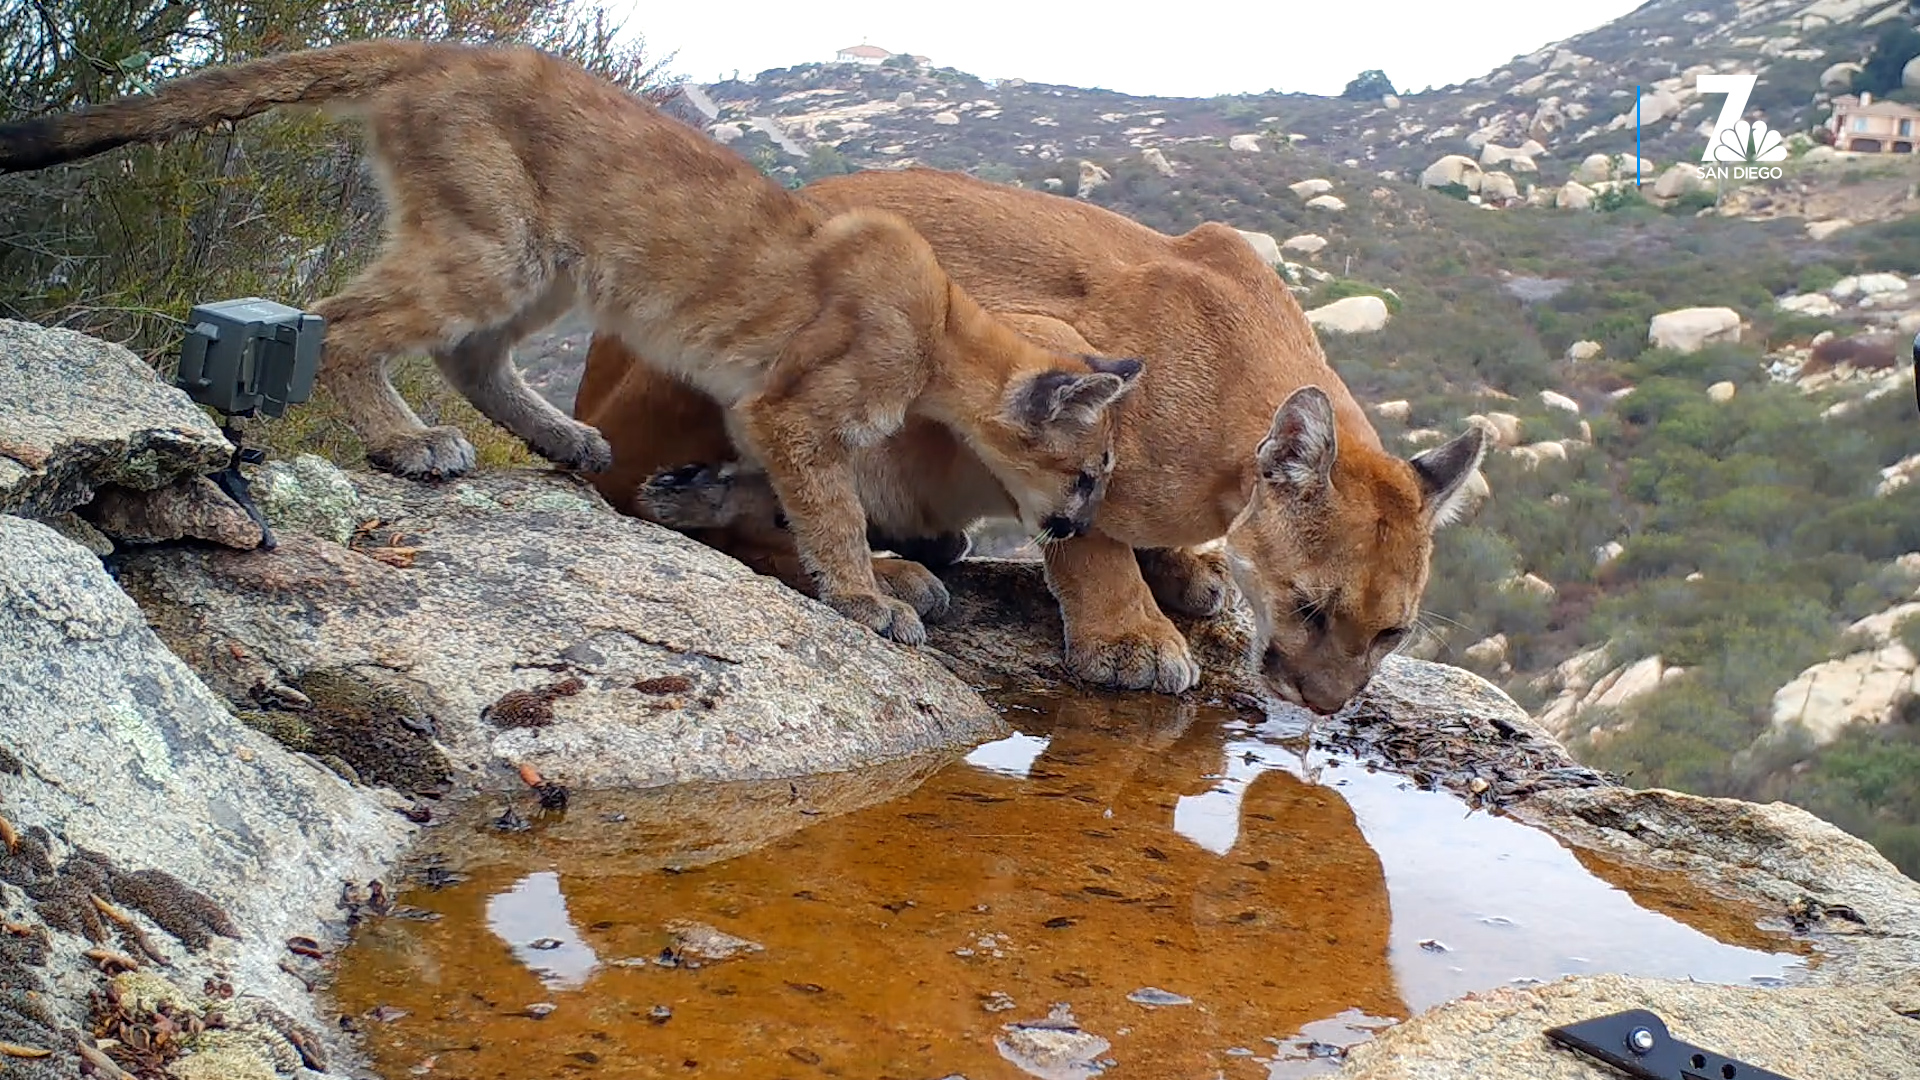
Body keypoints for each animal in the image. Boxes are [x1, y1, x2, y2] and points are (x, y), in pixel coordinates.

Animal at [0, 46, 1136, 641]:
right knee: (350, 326)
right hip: (495, 249)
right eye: (1088, 472)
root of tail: (447, 48)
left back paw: (564, 440)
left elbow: (785, 502)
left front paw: (869, 573)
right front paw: (866, 594)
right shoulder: (793, 410)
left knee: (468, 355)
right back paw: (409, 443)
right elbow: (835, 512)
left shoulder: (754, 417)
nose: (1077, 527)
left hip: (546, 266)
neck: (946, 326)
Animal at [568, 168, 1482, 711]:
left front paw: (1181, 570)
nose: (1325, 703)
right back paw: (882, 574)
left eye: (1393, 633)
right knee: (708, 496)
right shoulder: (1015, 343)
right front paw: (1130, 636)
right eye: (1308, 607)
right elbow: (1085, 522)